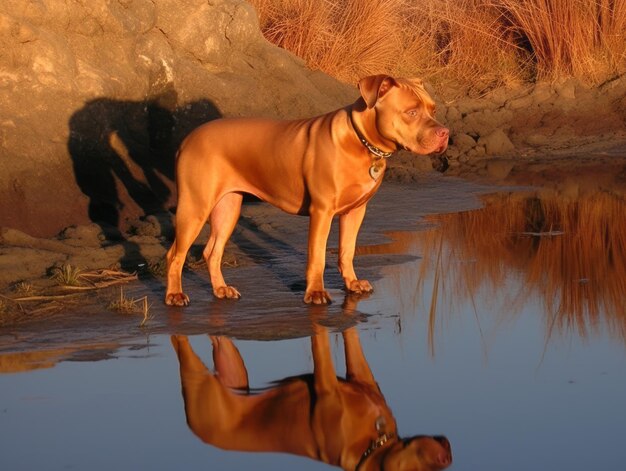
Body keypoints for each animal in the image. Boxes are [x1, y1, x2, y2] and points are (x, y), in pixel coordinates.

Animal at [166, 74, 446, 306]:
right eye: (411, 112)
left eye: (433, 109)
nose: (444, 132)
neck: (362, 142)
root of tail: (187, 139)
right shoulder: (321, 211)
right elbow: (317, 256)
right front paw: (315, 293)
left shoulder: (356, 211)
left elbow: (347, 250)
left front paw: (352, 283)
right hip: (195, 206)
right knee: (175, 254)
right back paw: (175, 295)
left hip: (228, 207)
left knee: (212, 251)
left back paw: (221, 290)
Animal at [173, 328, 450, 471]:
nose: (448, 455)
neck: (373, 444)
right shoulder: (326, 385)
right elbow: (321, 348)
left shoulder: (361, 377)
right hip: (196, 377)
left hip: (233, 373)